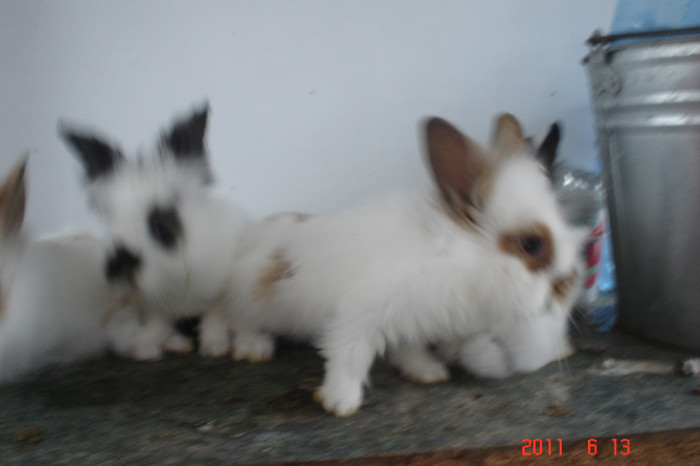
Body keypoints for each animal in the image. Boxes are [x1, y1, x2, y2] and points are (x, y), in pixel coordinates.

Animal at [228, 114, 584, 418]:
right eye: (532, 245)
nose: (569, 285)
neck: (455, 258)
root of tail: (247, 240)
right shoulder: (360, 315)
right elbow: (349, 356)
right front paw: (340, 402)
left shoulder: (411, 321)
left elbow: (407, 351)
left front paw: (429, 373)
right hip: (253, 300)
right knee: (243, 321)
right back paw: (253, 349)